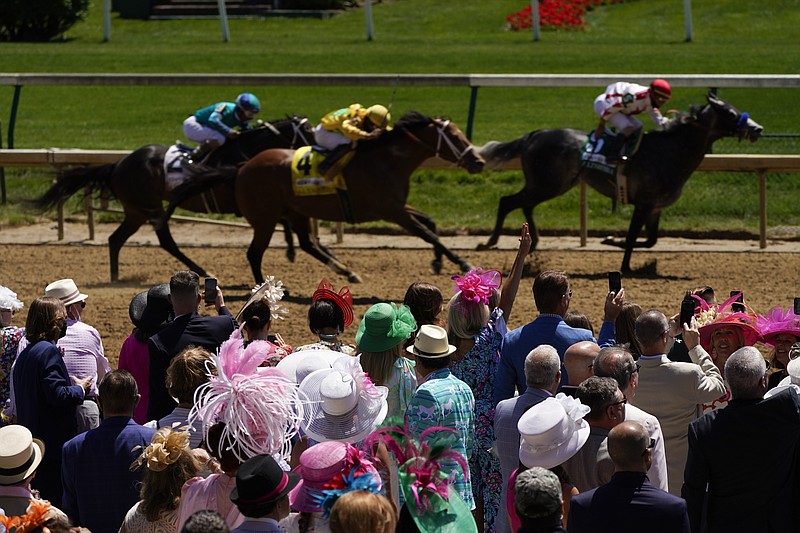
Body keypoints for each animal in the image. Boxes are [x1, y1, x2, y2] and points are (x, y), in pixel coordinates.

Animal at [36, 117, 314, 280]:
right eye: (308, 132)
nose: (311, 153)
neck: (241, 152)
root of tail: (117, 165)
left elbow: (285, 219)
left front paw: (291, 249)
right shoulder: (242, 201)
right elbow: (280, 219)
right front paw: (291, 248)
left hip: (136, 211)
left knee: (116, 239)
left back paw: (115, 277)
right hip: (150, 207)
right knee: (165, 240)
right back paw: (202, 270)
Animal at [172, 109, 484, 280]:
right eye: (455, 138)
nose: (478, 161)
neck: (387, 160)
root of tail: (242, 167)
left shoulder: (398, 206)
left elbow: (430, 223)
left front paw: (438, 261)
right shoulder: (391, 210)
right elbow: (428, 233)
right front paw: (463, 262)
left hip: (294, 211)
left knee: (307, 244)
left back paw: (346, 271)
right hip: (265, 218)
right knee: (254, 253)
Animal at [478, 93, 764, 272]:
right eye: (730, 112)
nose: (757, 128)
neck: (669, 153)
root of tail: (534, 135)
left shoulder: (655, 207)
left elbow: (650, 240)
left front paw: (630, 254)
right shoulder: (644, 203)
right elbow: (631, 237)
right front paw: (619, 253)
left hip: (552, 184)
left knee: (524, 204)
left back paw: (533, 241)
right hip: (547, 184)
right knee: (508, 201)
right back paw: (490, 241)